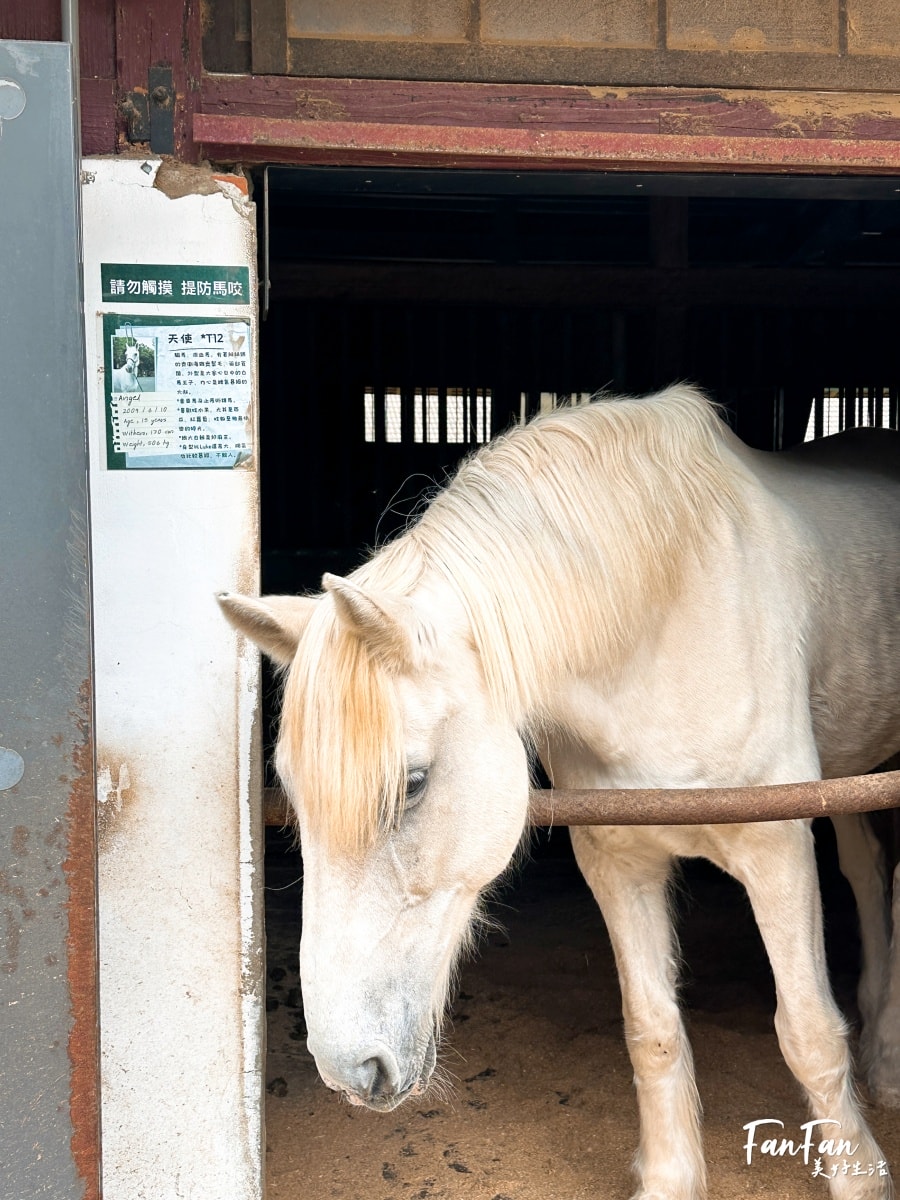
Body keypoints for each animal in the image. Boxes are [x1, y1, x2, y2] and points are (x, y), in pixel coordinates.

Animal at [219, 384, 900, 1200]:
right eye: (289, 792)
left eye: (412, 785)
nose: (348, 1068)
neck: (671, 616)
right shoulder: (618, 862)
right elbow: (652, 1030)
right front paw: (670, 1178)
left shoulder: (777, 849)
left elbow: (807, 1032)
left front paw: (861, 1178)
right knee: (868, 872)